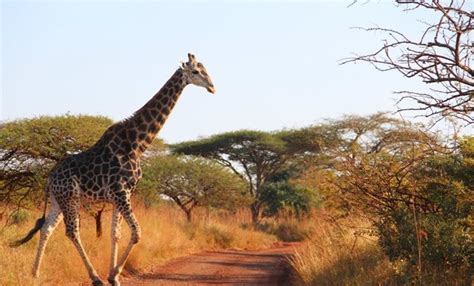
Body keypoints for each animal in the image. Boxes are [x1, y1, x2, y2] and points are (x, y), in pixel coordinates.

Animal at [11, 53, 215, 286]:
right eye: (196, 71)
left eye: (205, 69)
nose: (212, 87)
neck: (137, 144)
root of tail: (50, 178)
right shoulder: (120, 193)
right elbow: (136, 232)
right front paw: (113, 274)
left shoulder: (122, 195)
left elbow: (115, 234)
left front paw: (114, 276)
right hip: (70, 198)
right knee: (72, 232)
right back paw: (94, 277)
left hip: (58, 200)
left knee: (46, 229)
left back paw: (34, 273)